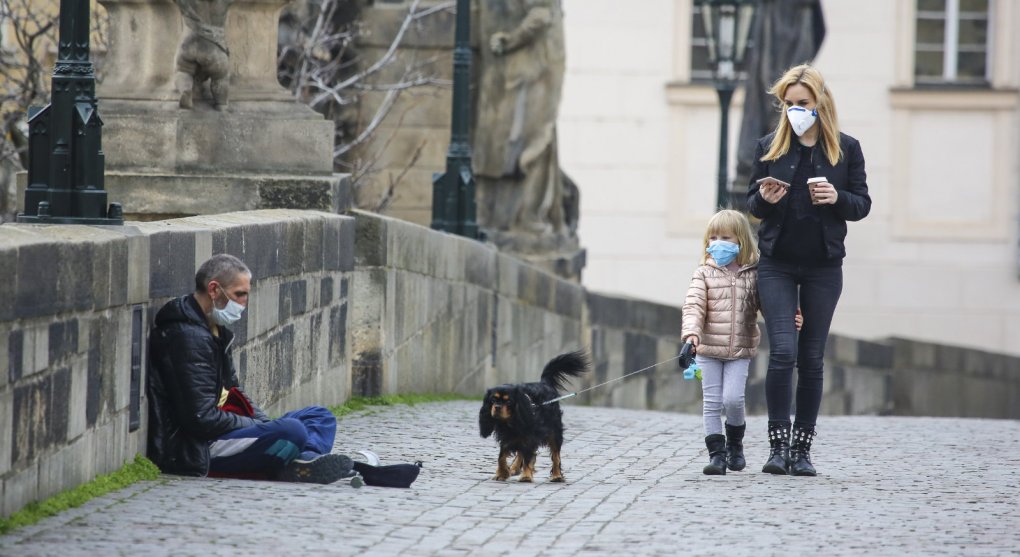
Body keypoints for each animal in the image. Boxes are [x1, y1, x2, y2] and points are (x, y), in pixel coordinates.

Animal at [477, 348, 591, 479]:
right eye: (493, 400)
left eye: (509, 401)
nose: (497, 407)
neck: (510, 422)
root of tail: (544, 383)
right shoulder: (507, 437)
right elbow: (501, 456)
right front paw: (502, 473)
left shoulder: (530, 436)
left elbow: (529, 456)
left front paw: (526, 476)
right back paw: (515, 468)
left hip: (554, 431)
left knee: (555, 454)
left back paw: (557, 475)